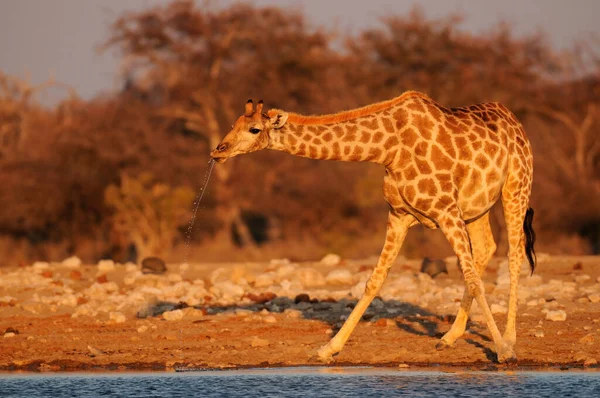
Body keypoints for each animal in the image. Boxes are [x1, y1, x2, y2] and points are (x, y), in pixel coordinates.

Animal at [210, 91, 536, 364]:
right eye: (233, 124)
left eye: (254, 129)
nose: (218, 151)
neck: (388, 148)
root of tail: (516, 122)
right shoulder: (399, 215)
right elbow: (374, 280)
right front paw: (328, 348)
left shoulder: (446, 210)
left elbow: (473, 279)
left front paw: (504, 352)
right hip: (476, 207)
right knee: (487, 248)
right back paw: (449, 337)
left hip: (516, 187)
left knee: (514, 253)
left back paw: (508, 339)